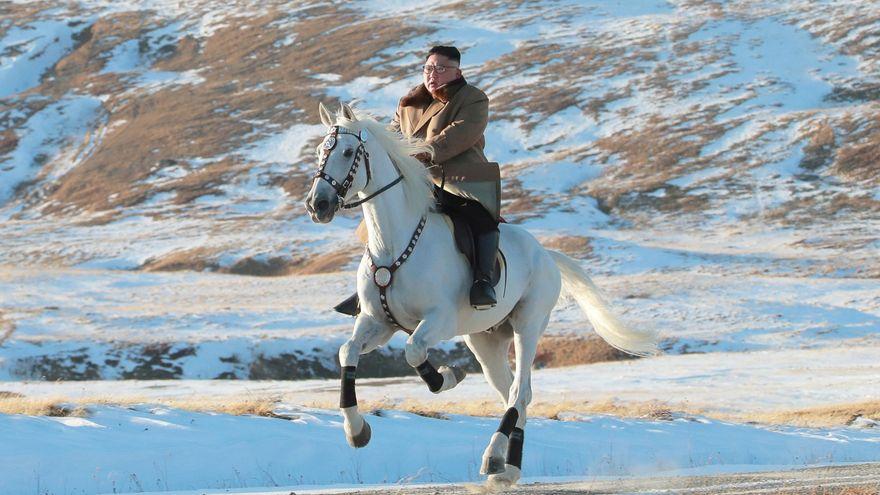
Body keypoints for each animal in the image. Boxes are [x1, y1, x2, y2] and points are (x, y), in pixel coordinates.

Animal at [306, 102, 656, 486]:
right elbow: (347, 352)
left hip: (527, 325)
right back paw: (508, 467)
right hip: (485, 340)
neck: (393, 243)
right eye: (320, 151)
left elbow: (414, 351)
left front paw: (447, 377)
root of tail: (546, 254)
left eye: (348, 152)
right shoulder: (377, 322)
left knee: (519, 392)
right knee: (514, 395)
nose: (317, 204)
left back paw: (493, 458)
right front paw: (356, 430)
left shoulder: (439, 320)